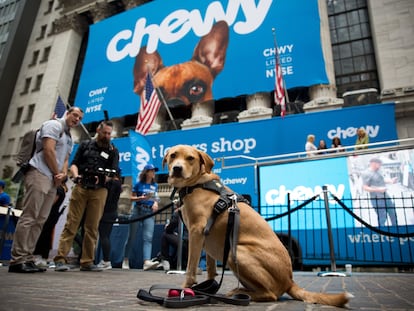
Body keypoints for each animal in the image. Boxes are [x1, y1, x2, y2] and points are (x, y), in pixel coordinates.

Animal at [162, 146, 350, 308]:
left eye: (190, 158)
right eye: (173, 155)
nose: (177, 168)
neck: (197, 184)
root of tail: (289, 281)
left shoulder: (196, 232)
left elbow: (190, 267)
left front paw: (185, 289)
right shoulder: (206, 241)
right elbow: (211, 269)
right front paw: (207, 288)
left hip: (235, 252)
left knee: (271, 294)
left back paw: (239, 293)